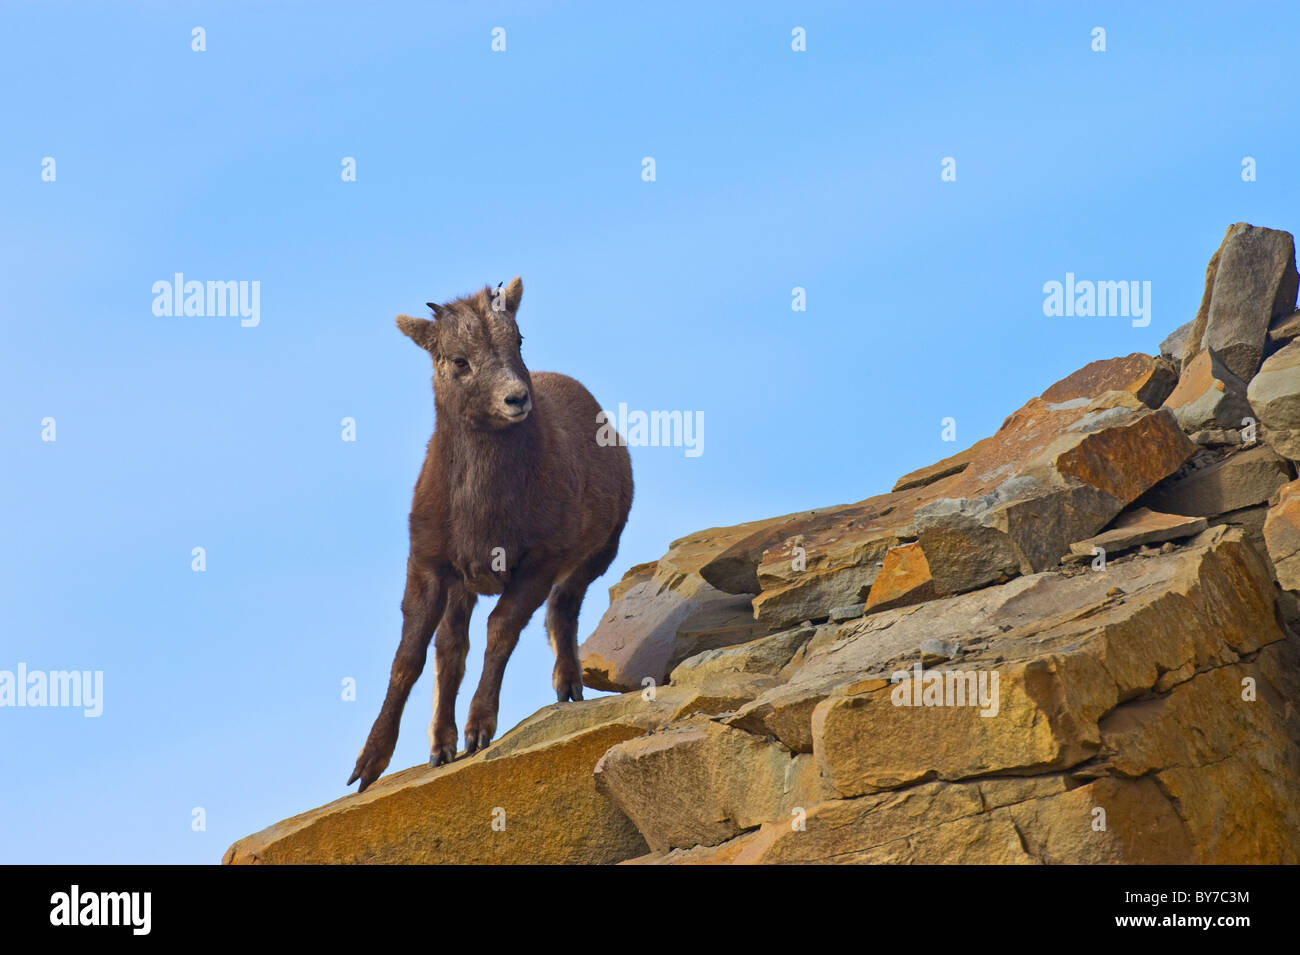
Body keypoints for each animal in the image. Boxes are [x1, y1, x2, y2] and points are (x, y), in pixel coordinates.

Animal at [348, 277, 633, 792]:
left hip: (596, 556)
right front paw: (368, 765)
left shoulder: (538, 564)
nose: (516, 399)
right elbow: (410, 658)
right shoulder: (429, 566)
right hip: (463, 587)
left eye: (517, 339)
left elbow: (500, 631)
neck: (481, 512)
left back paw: (567, 687)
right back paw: (440, 746)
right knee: (451, 650)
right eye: (459, 359)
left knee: (562, 609)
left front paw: (480, 731)